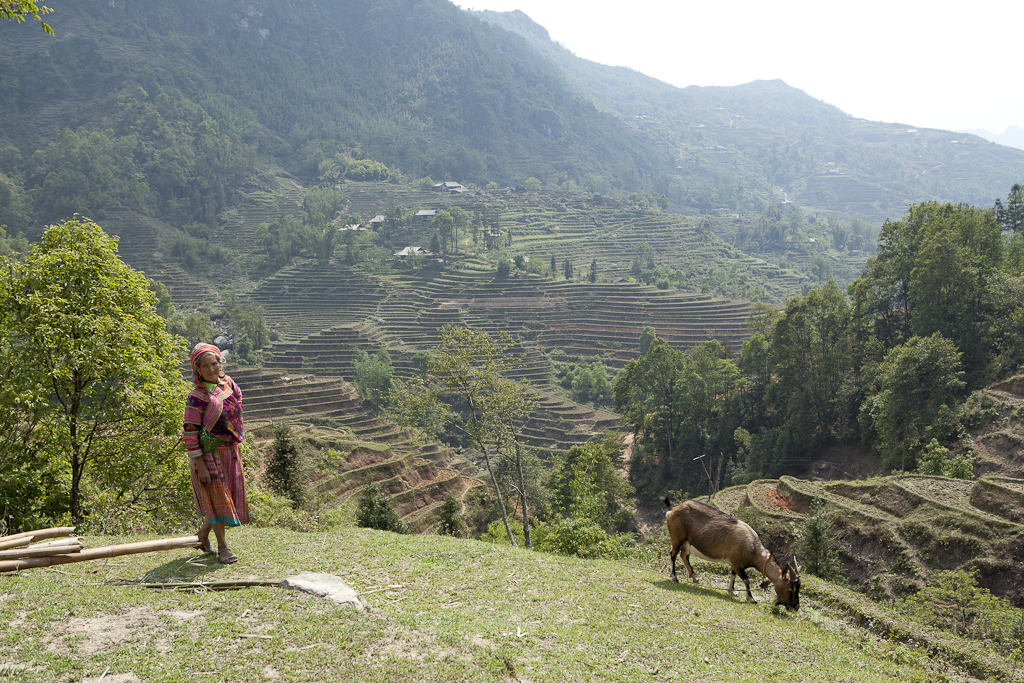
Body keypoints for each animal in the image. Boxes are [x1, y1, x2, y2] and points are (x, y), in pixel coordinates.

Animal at [663, 497, 798, 610]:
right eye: (790, 588)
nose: (796, 606)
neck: (753, 548)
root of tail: (672, 510)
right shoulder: (738, 564)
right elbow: (746, 580)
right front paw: (751, 598)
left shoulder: (735, 563)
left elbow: (733, 576)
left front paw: (732, 591)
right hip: (677, 538)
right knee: (673, 554)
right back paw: (674, 577)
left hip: (687, 542)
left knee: (684, 555)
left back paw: (695, 579)